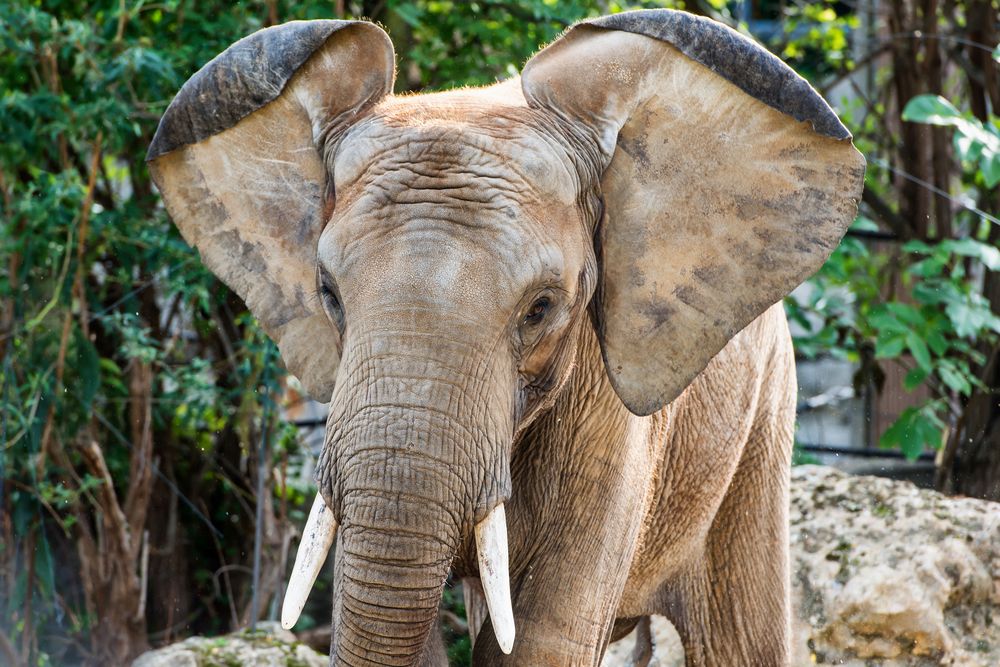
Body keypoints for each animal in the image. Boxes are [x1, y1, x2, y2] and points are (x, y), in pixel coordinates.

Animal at [146, 7, 868, 664]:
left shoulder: (609, 415)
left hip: (763, 415)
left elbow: (544, 635)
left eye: (542, 308)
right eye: (328, 294)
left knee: (741, 633)